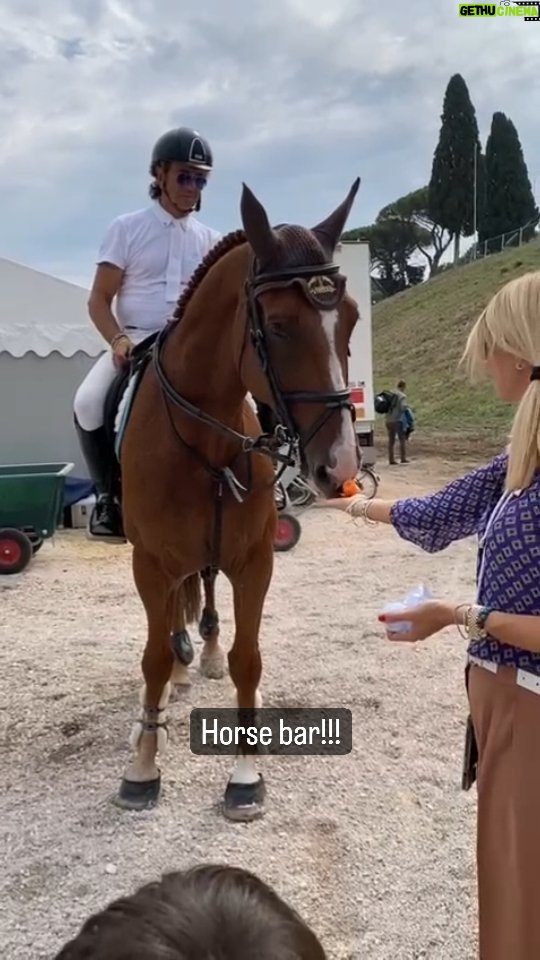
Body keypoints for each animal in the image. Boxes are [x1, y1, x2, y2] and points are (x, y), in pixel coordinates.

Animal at [111, 177, 362, 821]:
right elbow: (151, 656)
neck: (202, 439)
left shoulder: (254, 561)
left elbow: (248, 657)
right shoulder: (148, 563)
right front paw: (143, 768)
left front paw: (246, 774)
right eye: (278, 324)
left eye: (349, 319)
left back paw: (200, 656)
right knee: (171, 622)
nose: (341, 467)